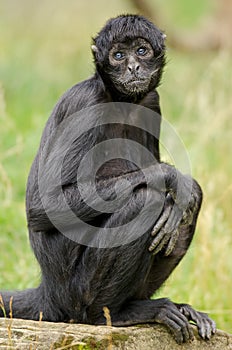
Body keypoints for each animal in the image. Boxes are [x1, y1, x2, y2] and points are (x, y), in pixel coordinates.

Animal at [0, 14, 216, 344]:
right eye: (118, 56)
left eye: (141, 51)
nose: (133, 67)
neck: (118, 99)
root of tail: (50, 291)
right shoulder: (85, 102)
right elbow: (42, 206)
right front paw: (171, 176)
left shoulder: (151, 101)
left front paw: (181, 190)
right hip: (77, 291)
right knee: (145, 198)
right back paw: (111, 315)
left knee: (187, 201)